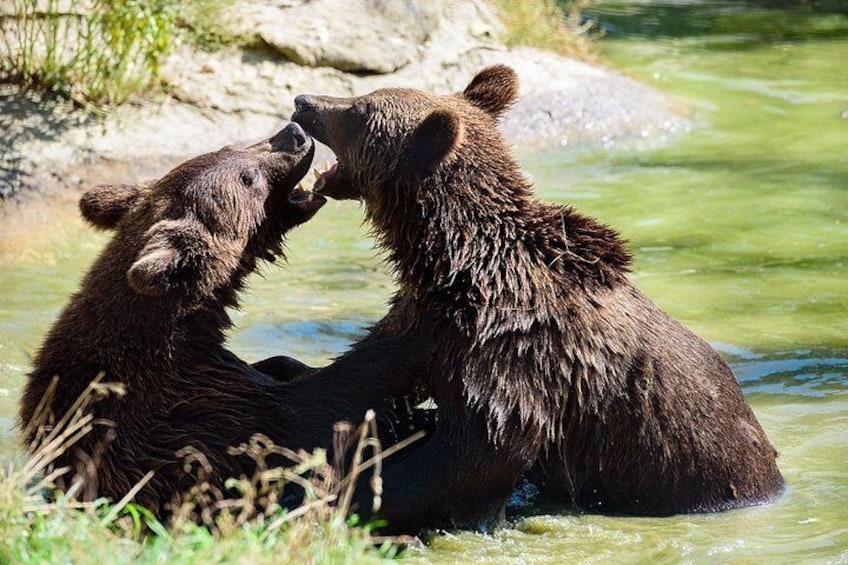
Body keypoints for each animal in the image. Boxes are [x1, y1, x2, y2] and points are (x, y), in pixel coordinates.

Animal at [19, 123, 430, 516]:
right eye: (248, 177)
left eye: (230, 147)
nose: (294, 134)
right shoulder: (194, 414)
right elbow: (314, 407)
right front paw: (405, 327)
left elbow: (279, 368)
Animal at [290, 66, 780, 532]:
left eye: (358, 109)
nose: (303, 101)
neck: (456, 258)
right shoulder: (429, 318)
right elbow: (364, 370)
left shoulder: (514, 352)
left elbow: (479, 449)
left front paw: (340, 497)